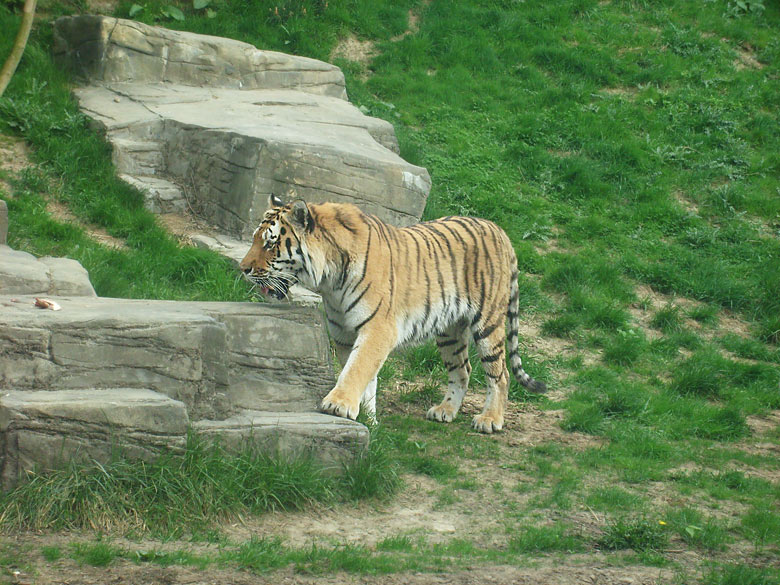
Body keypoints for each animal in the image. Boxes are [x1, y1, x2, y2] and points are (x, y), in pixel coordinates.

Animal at [241, 194, 544, 432]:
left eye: (269, 244)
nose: (242, 268)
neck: (330, 281)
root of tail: (499, 230)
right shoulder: (344, 334)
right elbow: (365, 375)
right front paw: (369, 420)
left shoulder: (378, 329)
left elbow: (357, 369)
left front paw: (338, 405)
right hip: (450, 332)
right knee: (463, 370)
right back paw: (445, 411)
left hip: (488, 325)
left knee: (500, 374)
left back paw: (490, 420)